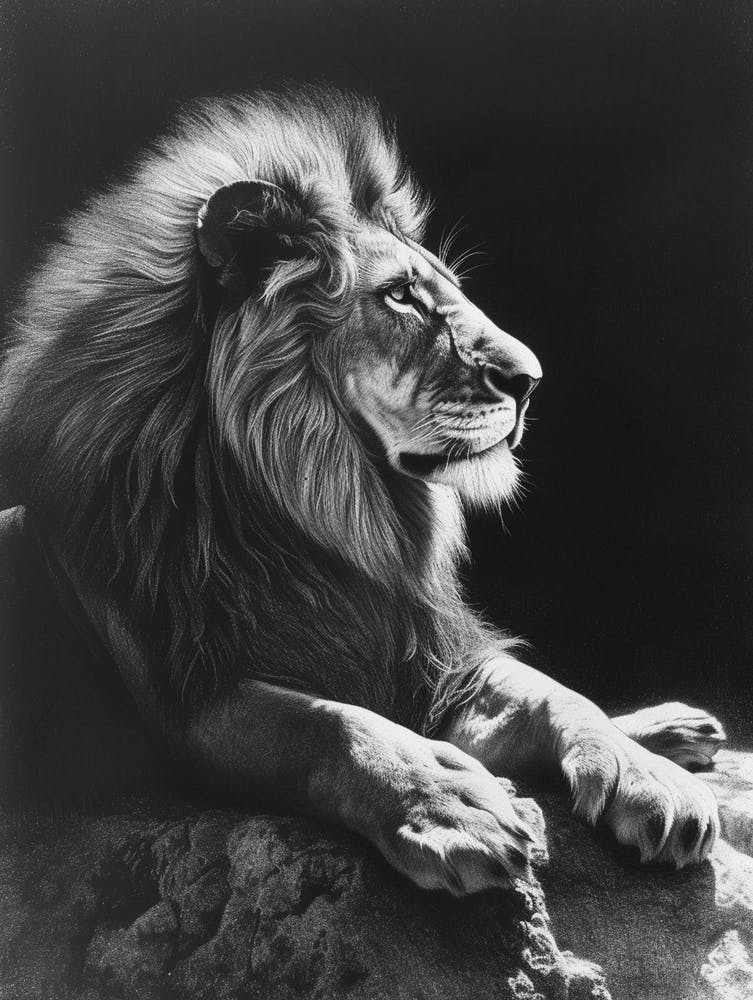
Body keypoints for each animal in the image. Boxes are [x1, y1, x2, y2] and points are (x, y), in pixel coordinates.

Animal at [0, 85, 726, 895]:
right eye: (402, 297)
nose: (530, 380)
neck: (327, 514)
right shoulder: (188, 705)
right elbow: (328, 725)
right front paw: (449, 806)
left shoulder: (428, 660)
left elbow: (550, 690)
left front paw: (646, 777)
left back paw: (670, 732)